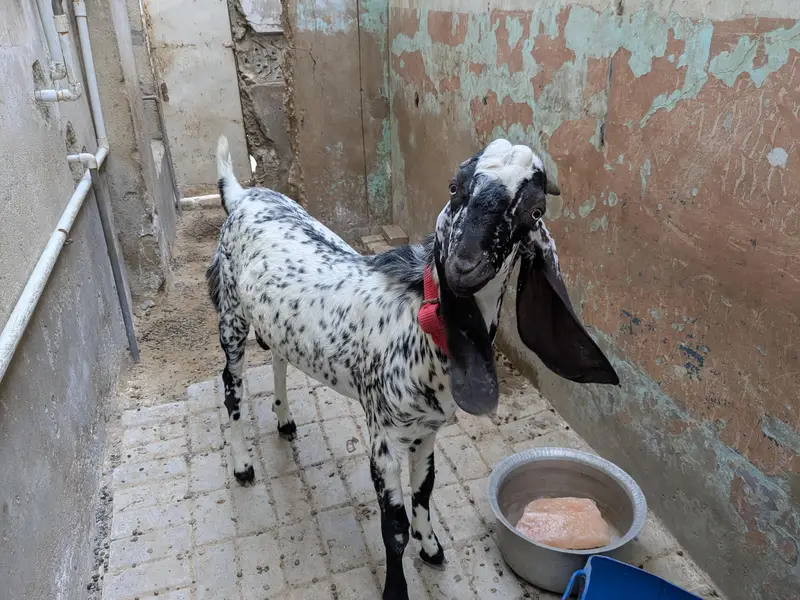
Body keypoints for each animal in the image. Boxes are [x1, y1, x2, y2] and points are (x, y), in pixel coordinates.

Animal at [207, 135, 620, 600]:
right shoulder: (384, 439)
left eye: (534, 210)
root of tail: (241, 195)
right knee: (231, 385)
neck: (420, 326)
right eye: (455, 188)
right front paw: (396, 588)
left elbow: (425, 491)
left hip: (274, 324)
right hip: (231, 313)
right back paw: (243, 465)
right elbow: (395, 526)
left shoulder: (427, 432)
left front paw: (432, 548)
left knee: (278, 357)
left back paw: (284, 420)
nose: (463, 266)